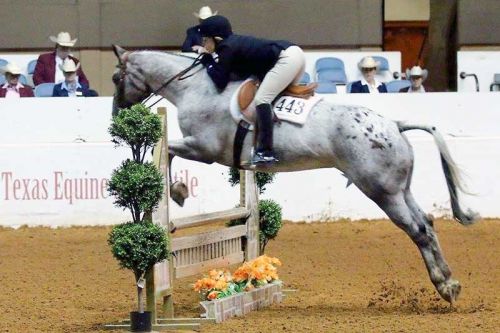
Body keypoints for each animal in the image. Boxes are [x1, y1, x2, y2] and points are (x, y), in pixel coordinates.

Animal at [111, 44, 478, 304]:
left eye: (116, 79)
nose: (117, 114)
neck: (196, 88)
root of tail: (394, 124)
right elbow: (171, 152)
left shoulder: (204, 148)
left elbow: (170, 151)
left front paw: (178, 192)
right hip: (400, 190)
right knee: (426, 223)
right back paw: (450, 281)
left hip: (382, 192)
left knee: (418, 230)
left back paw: (446, 286)